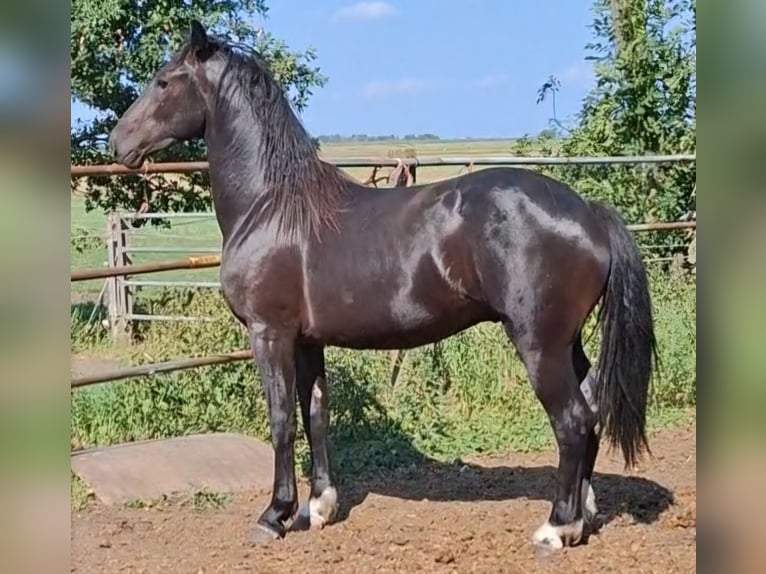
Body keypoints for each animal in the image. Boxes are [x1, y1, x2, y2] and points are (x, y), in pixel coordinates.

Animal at [108, 20, 657, 551]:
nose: (117, 143)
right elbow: (316, 412)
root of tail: (589, 212)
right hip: (567, 343)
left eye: (163, 82)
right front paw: (318, 508)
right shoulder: (307, 341)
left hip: (539, 344)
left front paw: (274, 515)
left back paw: (556, 528)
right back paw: (583, 517)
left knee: (572, 421)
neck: (271, 205)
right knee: (590, 412)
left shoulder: (269, 334)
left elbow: (282, 419)